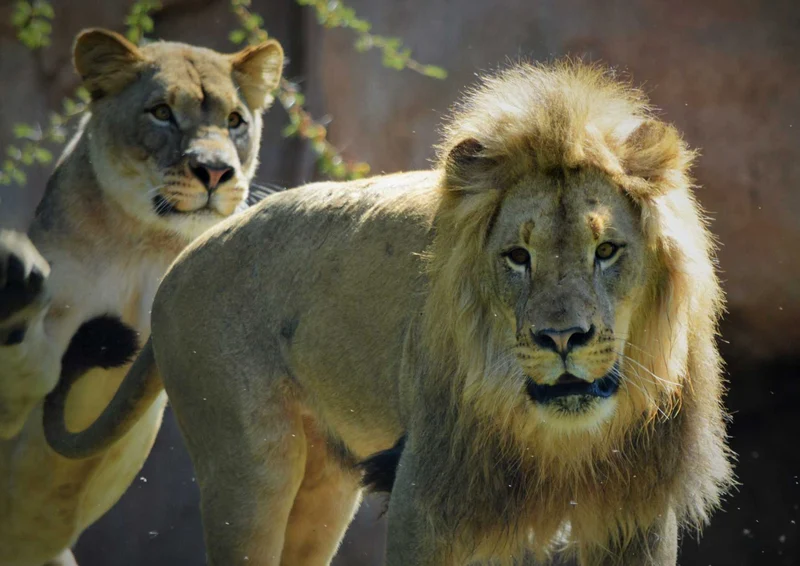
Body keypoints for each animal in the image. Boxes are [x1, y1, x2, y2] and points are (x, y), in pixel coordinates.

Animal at [0, 28, 283, 565]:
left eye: (235, 120)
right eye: (162, 112)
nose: (216, 172)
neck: (140, 240)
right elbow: (35, 365)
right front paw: (16, 281)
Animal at [44, 61, 734, 565]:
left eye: (607, 250)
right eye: (517, 257)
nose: (562, 337)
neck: (561, 439)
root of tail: (184, 257)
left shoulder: (637, 513)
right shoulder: (429, 506)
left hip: (326, 484)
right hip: (249, 467)